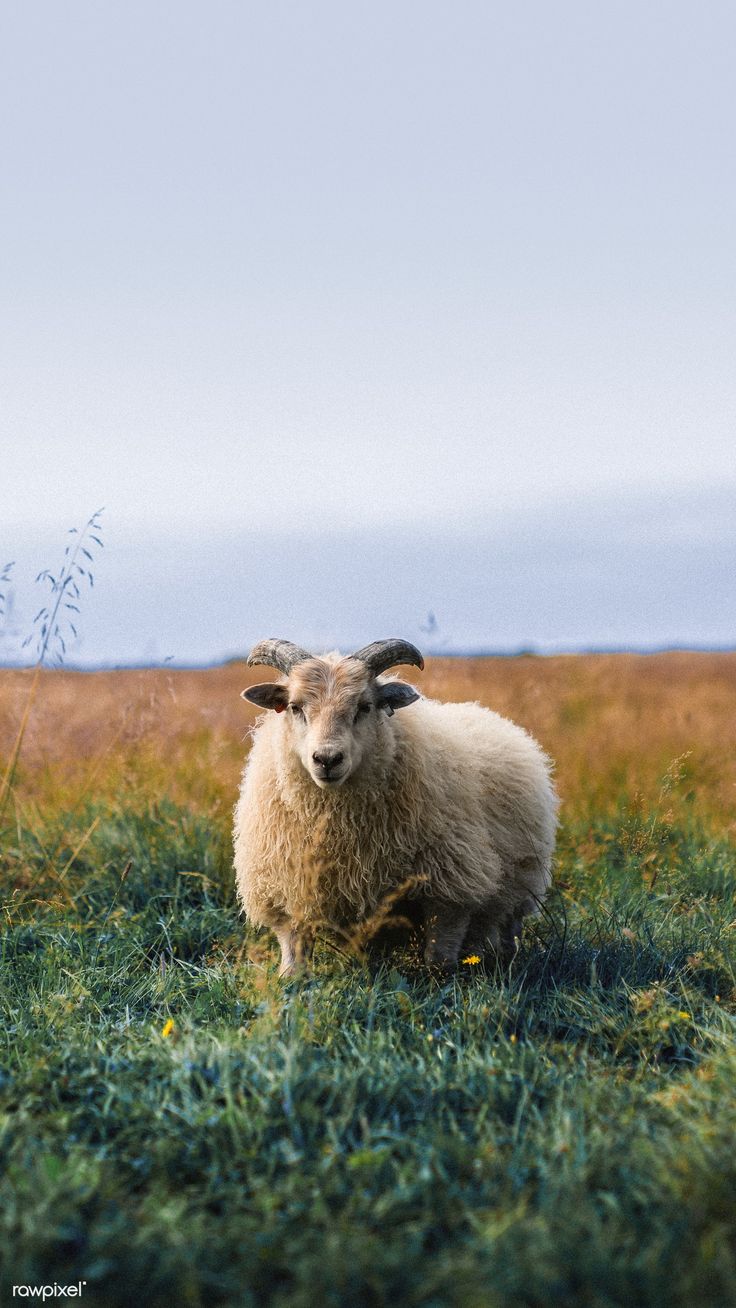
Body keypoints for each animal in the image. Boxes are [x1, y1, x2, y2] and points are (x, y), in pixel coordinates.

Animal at [233, 638, 558, 976]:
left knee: (508, 926)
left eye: (365, 706)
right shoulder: (287, 885)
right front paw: (290, 980)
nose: (327, 759)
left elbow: (439, 954)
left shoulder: (452, 883)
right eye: (295, 708)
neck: (337, 822)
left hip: (521, 884)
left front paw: (442, 980)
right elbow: (294, 950)